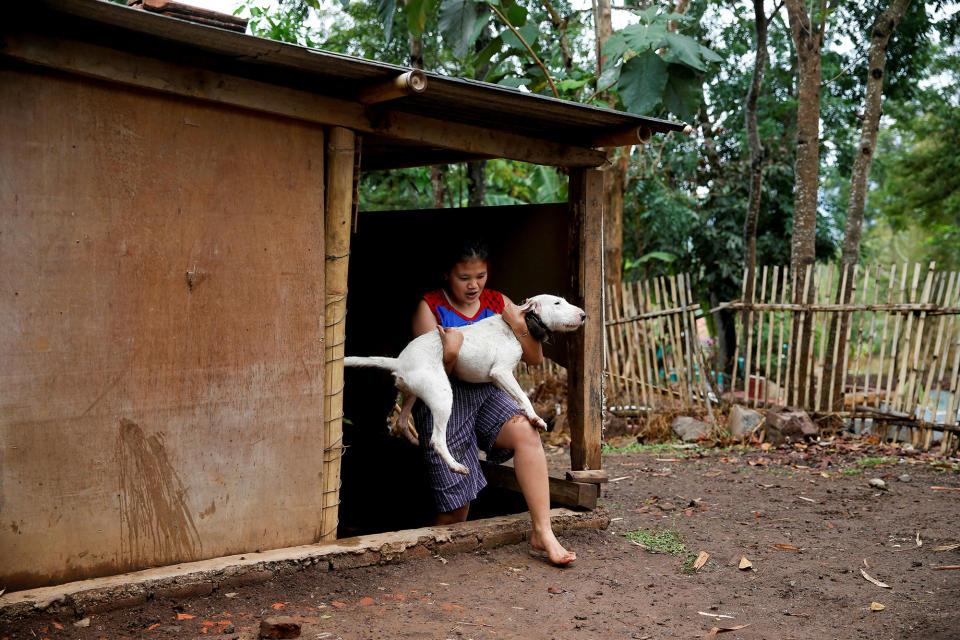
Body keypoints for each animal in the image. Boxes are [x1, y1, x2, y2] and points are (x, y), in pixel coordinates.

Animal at [344, 296, 584, 476]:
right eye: (557, 303)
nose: (583, 315)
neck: (517, 326)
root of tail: (400, 361)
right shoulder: (501, 371)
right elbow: (524, 396)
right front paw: (536, 418)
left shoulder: (498, 378)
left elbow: (518, 397)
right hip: (442, 397)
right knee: (436, 440)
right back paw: (455, 466)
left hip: (411, 394)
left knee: (402, 423)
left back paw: (414, 441)